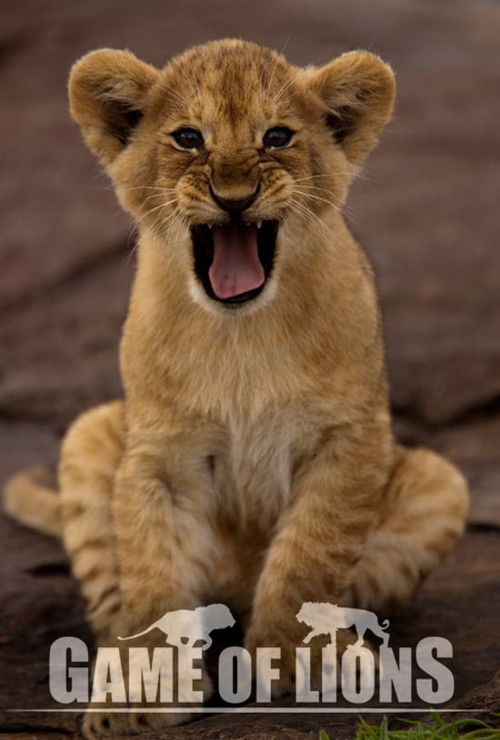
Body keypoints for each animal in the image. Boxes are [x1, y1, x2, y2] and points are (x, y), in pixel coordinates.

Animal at [3, 39, 468, 737]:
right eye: (188, 138)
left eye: (276, 137)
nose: (234, 197)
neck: (239, 334)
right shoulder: (160, 459)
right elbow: (153, 573)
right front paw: (143, 689)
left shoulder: (350, 441)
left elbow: (309, 557)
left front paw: (299, 662)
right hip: (89, 436)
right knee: (115, 597)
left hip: (440, 483)